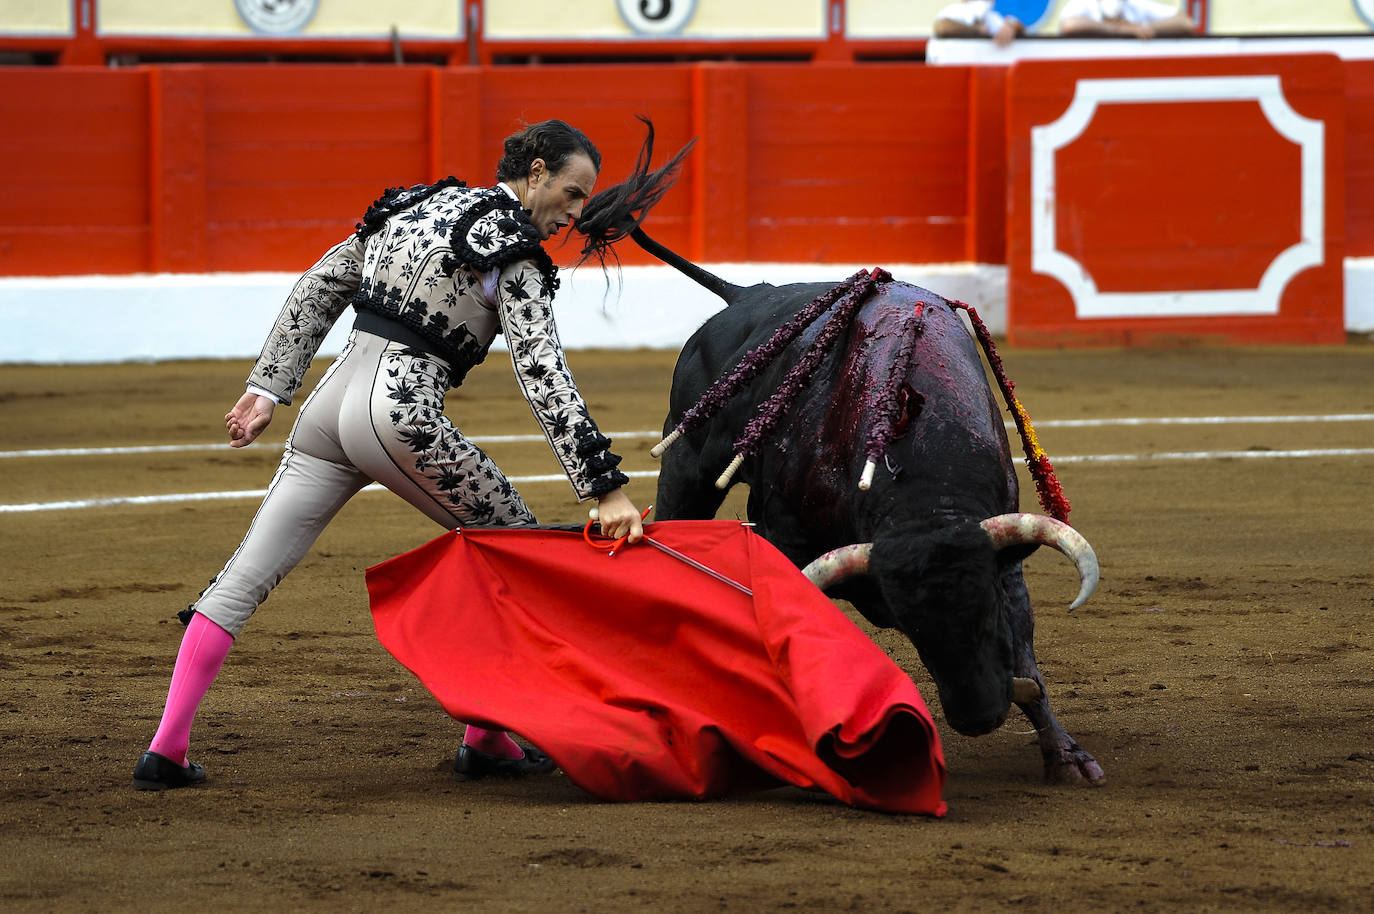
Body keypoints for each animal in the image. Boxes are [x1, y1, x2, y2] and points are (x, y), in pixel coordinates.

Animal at [632, 229, 1104, 786]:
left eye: (987, 613)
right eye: (913, 628)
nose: (979, 716)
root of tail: (746, 294)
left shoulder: (1004, 551)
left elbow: (1027, 653)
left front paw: (1067, 757)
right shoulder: (786, 538)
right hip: (685, 461)